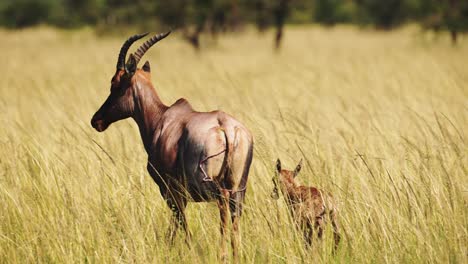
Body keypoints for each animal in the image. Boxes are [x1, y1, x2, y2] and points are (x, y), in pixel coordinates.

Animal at [91, 32, 252, 260]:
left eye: (116, 84)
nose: (97, 120)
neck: (162, 119)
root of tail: (226, 128)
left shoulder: (170, 190)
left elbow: (178, 222)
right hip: (240, 187)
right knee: (235, 214)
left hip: (212, 186)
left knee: (222, 207)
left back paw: (222, 255)